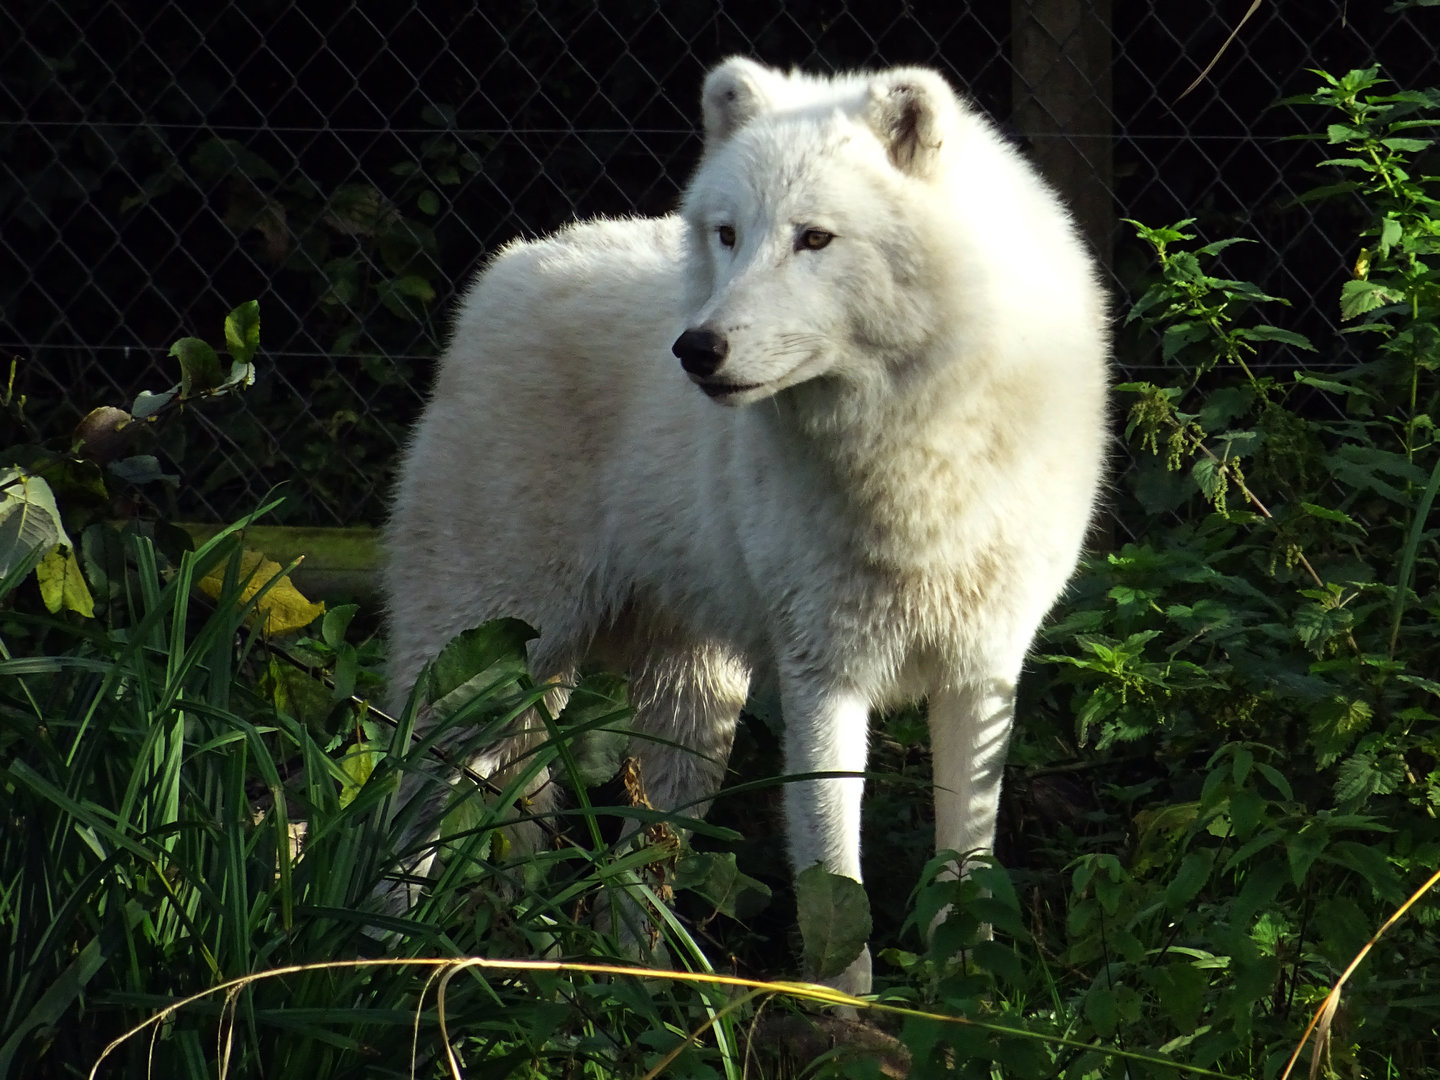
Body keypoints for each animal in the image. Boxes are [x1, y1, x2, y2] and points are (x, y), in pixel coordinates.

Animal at [382, 57, 1108, 994]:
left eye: (815, 239)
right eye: (728, 234)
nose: (697, 350)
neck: (913, 447)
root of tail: (508, 267)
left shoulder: (980, 672)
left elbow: (965, 872)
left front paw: (965, 1001)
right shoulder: (821, 676)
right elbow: (835, 876)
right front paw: (848, 1010)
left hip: (686, 709)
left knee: (628, 868)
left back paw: (633, 988)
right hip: (478, 666)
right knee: (401, 802)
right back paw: (382, 955)